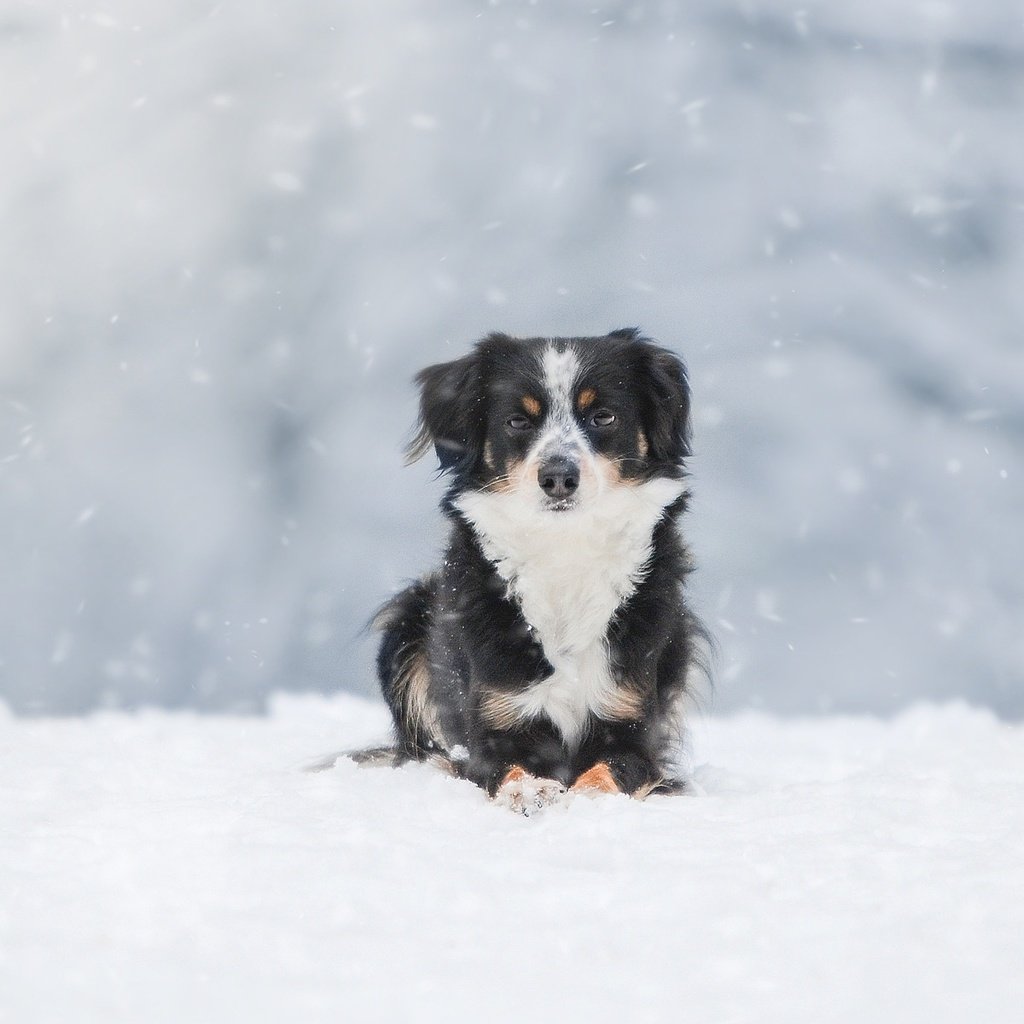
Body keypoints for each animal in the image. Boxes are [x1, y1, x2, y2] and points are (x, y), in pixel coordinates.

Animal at [372, 331, 708, 811]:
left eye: (603, 416)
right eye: (517, 422)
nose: (558, 477)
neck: (564, 547)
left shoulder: (632, 720)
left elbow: (610, 770)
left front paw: (585, 797)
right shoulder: (494, 721)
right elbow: (506, 766)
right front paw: (530, 791)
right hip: (408, 619)